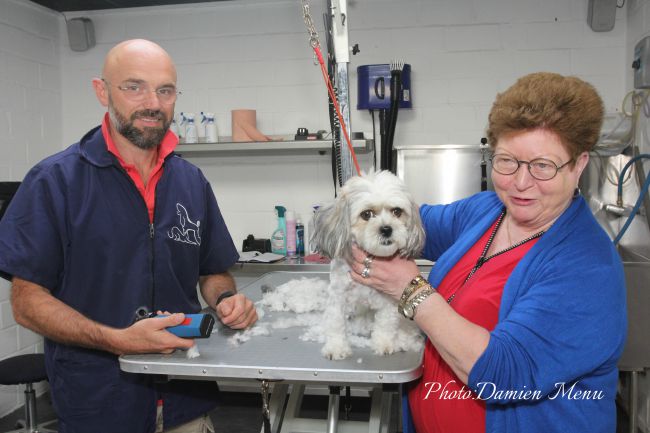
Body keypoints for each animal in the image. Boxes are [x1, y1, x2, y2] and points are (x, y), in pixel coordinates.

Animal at [310, 170, 426, 360]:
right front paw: (336, 347)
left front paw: (384, 344)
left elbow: (386, 323)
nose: (386, 229)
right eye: (366, 214)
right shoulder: (338, 297)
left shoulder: (389, 300)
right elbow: (336, 323)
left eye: (397, 211)